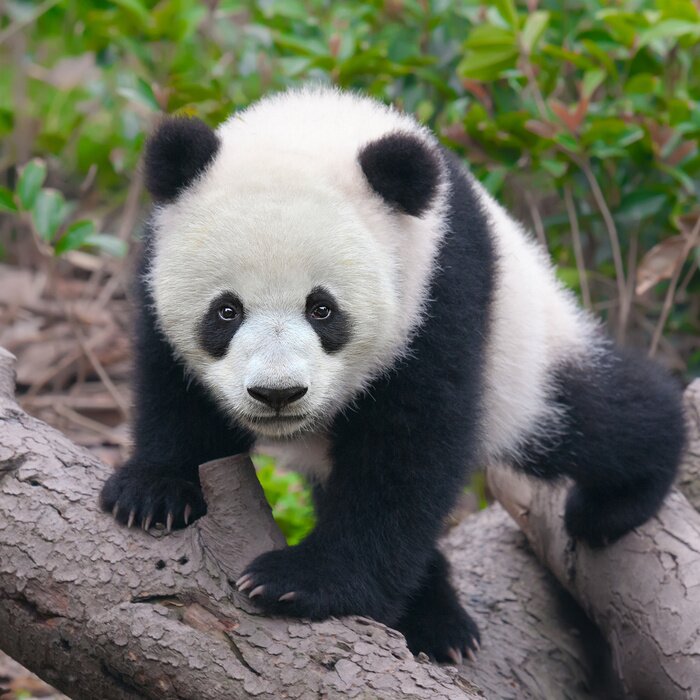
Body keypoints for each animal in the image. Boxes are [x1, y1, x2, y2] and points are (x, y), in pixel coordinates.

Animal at [100, 86, 685, 663]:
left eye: (322, 309)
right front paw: (153, 494)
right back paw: (437, 616)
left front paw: (303, 582)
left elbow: (409, 449)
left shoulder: (439, 287)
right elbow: (176, 393)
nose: (277, 393)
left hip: (524, 354)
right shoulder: (157, 273)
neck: (315, 124)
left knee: (587, 419)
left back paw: (620, 498)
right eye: (226, 311)